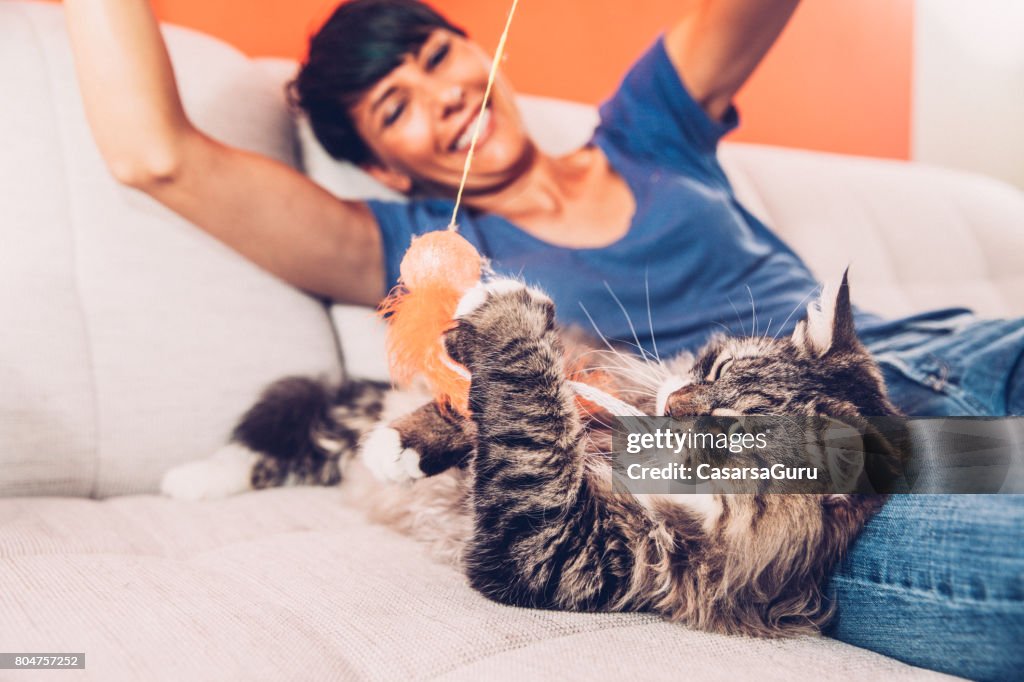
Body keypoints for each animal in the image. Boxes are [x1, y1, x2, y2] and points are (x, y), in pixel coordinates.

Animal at [161, 272, 905, 638]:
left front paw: (510, 321)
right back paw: (196, 477)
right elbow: (530, 405)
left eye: (729, 433)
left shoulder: (562, 551)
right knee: (283, 426)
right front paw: (408, 443)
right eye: (713, 366)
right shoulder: (602, 393)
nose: (674, 401)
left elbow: (531, 428)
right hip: (338, 416)